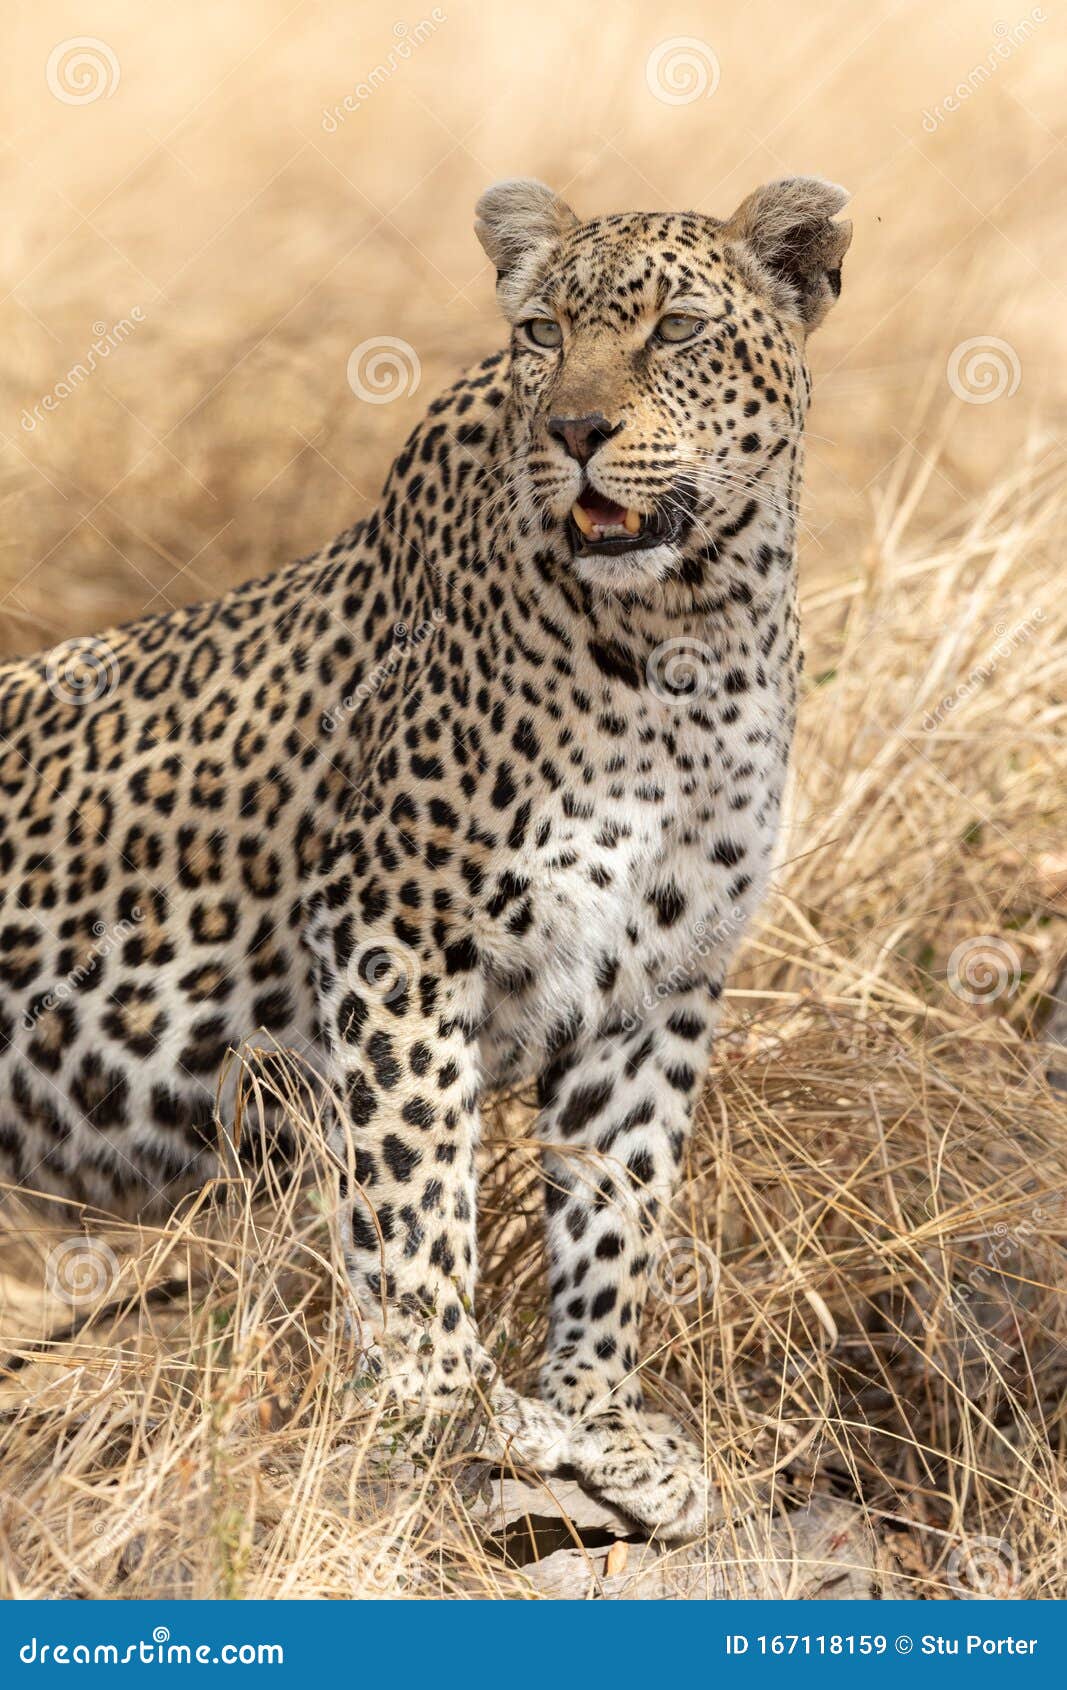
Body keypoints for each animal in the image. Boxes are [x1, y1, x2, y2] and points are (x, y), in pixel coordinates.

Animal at [0, 178, 852, 1541]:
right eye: (545, 333)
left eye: (673, 330)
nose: (577, 431)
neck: (688, 627)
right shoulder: (394, 929)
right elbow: (412, 1189)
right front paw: (444, 1399)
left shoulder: (661, 981)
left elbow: (618, 1207)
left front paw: (601, 1423)